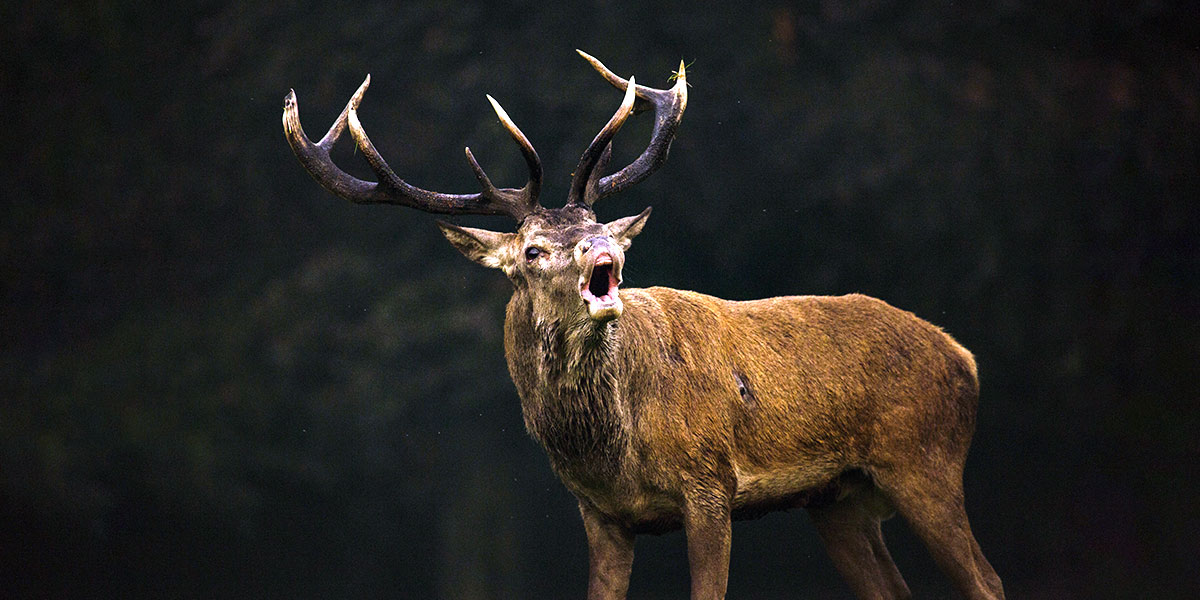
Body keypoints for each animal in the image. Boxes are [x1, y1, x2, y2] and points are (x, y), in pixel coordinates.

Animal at [282, 51, 1004, 600]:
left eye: (600, 226)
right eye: (532, 251)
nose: (606, 253)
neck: (611, 448)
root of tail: (964, 357)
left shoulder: (710, 483)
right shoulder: (600, 514)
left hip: (925, 459)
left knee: (986, 580)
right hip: (839, 500)